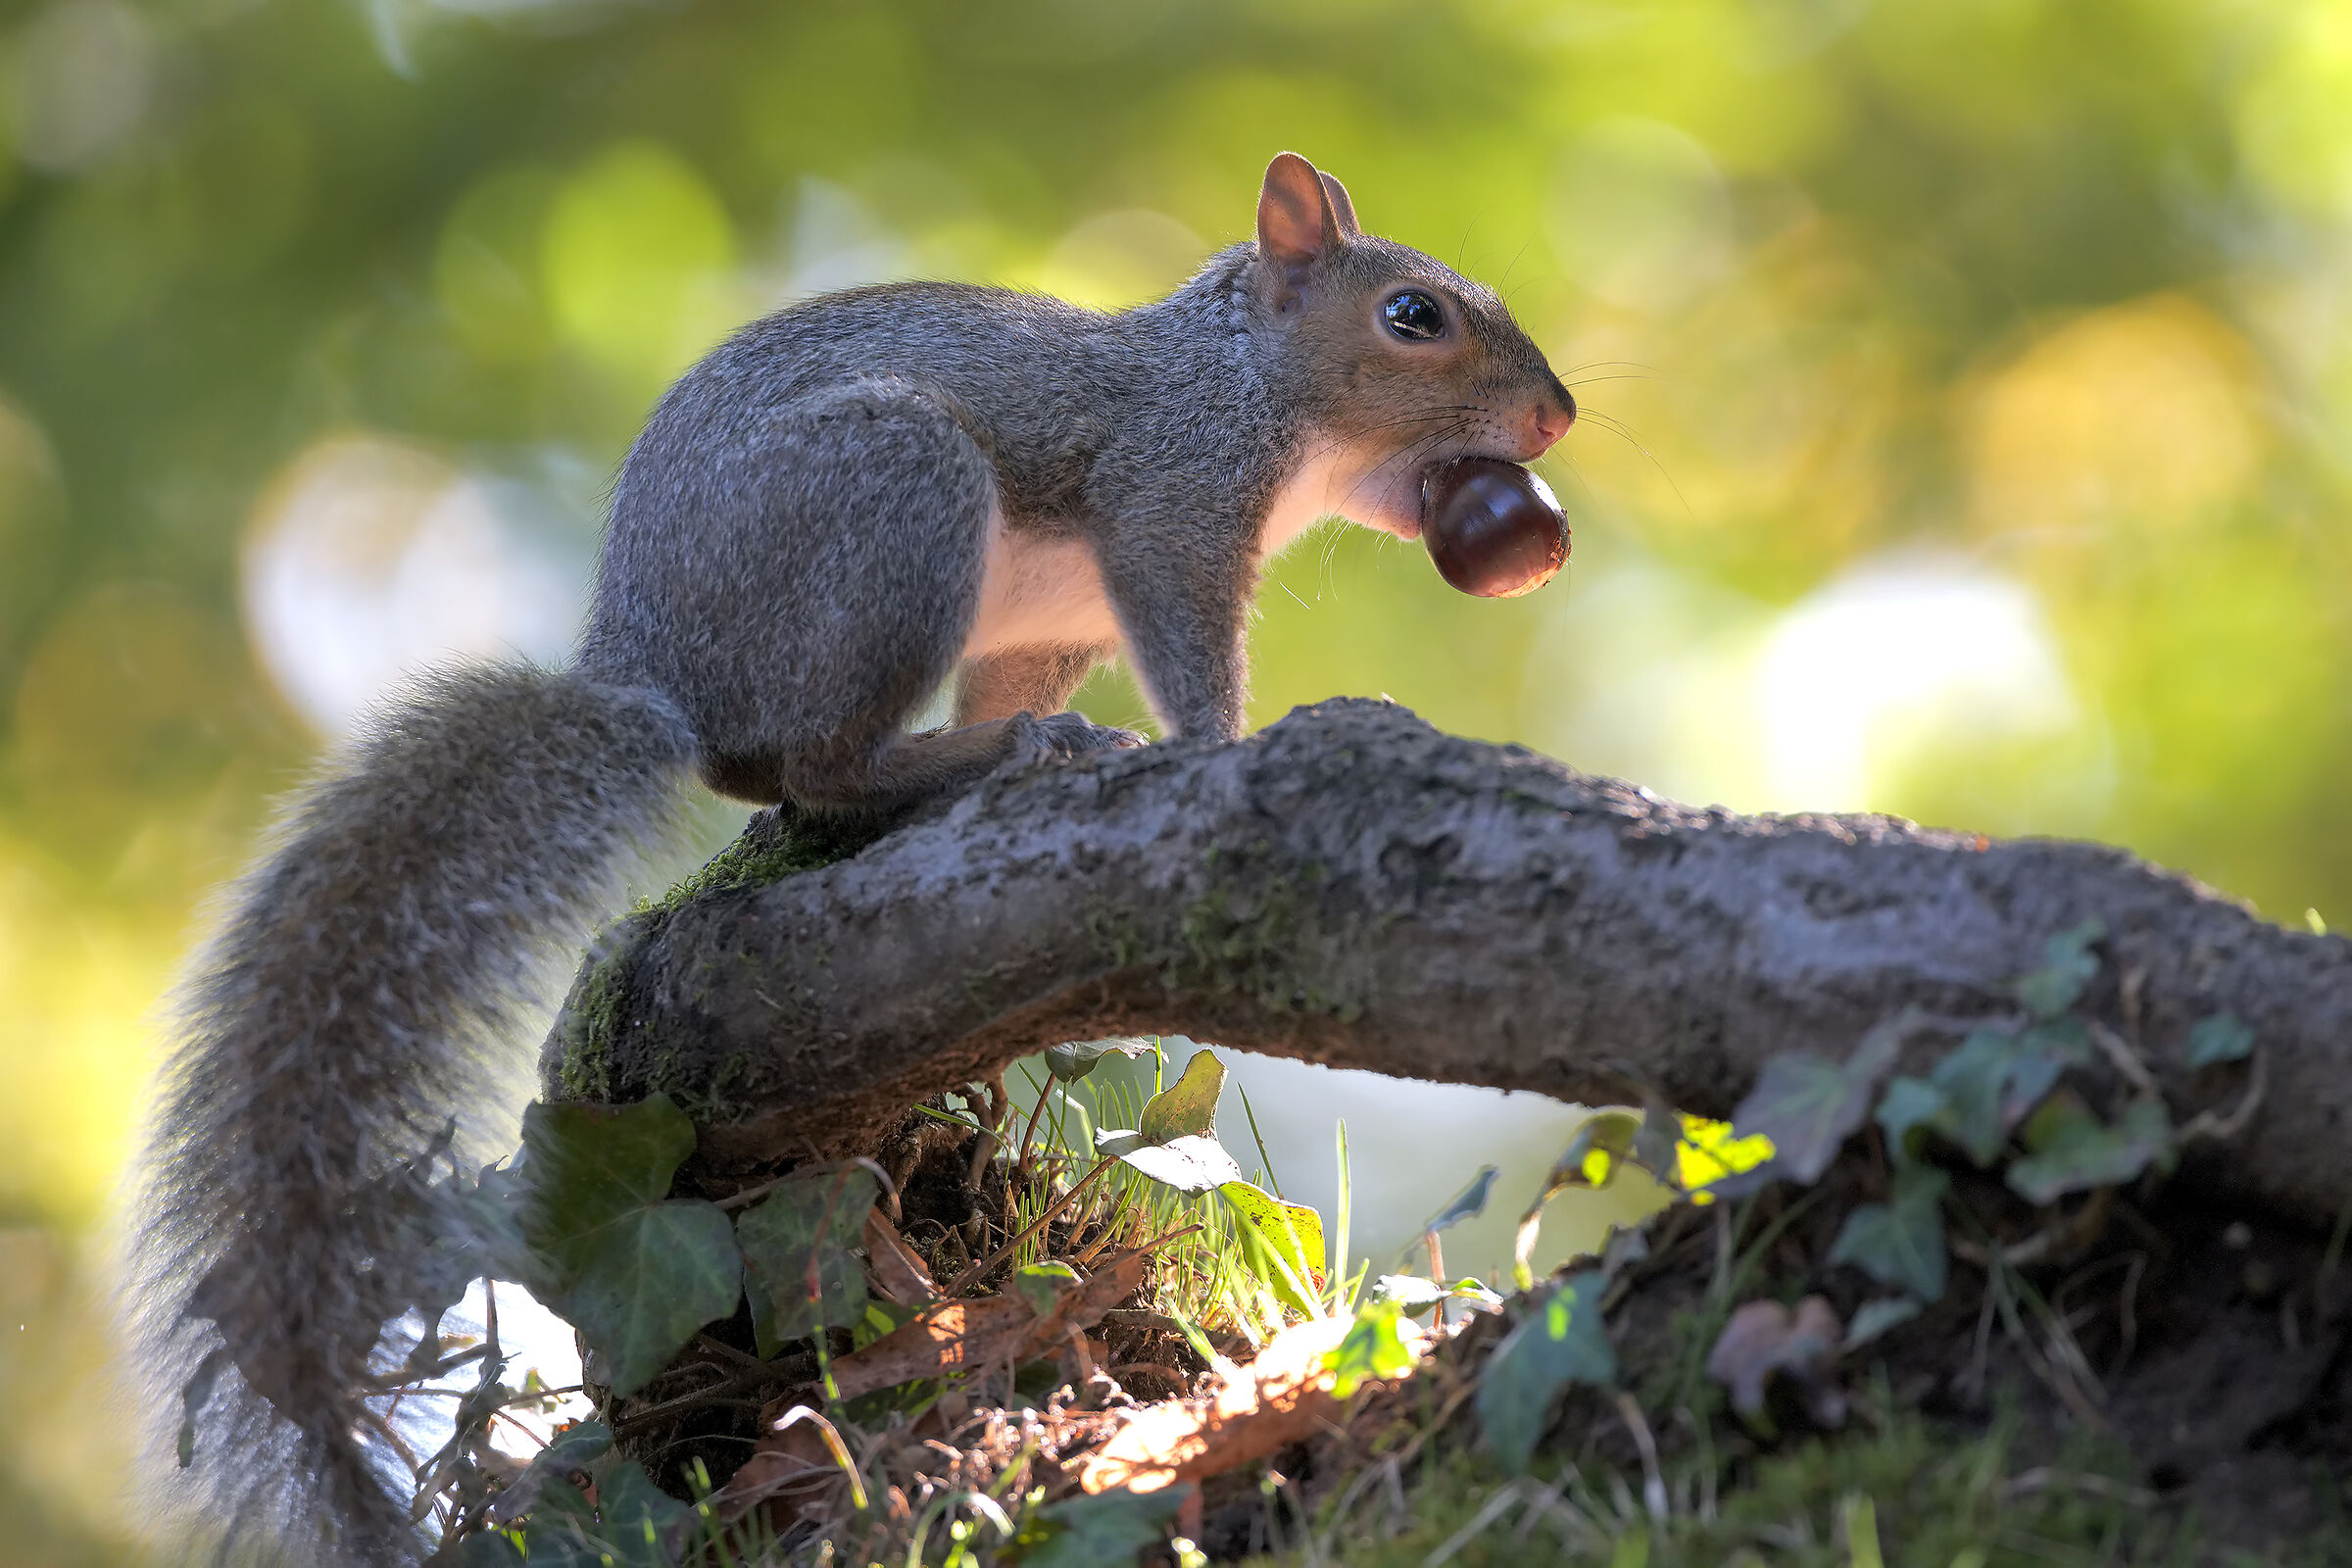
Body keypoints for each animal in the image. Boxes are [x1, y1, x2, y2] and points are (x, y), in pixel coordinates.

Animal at [136, 152, 1574, 1561]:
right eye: (1412, 316)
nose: (1556, 418)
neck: (1243, 382)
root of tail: (654, 668)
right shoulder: (1167, 501)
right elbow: (1186, 646)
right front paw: (1216, 744)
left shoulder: (1053, 622)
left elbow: (1025, 670)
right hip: (894, 499)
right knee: (819, 764)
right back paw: (966, 764)